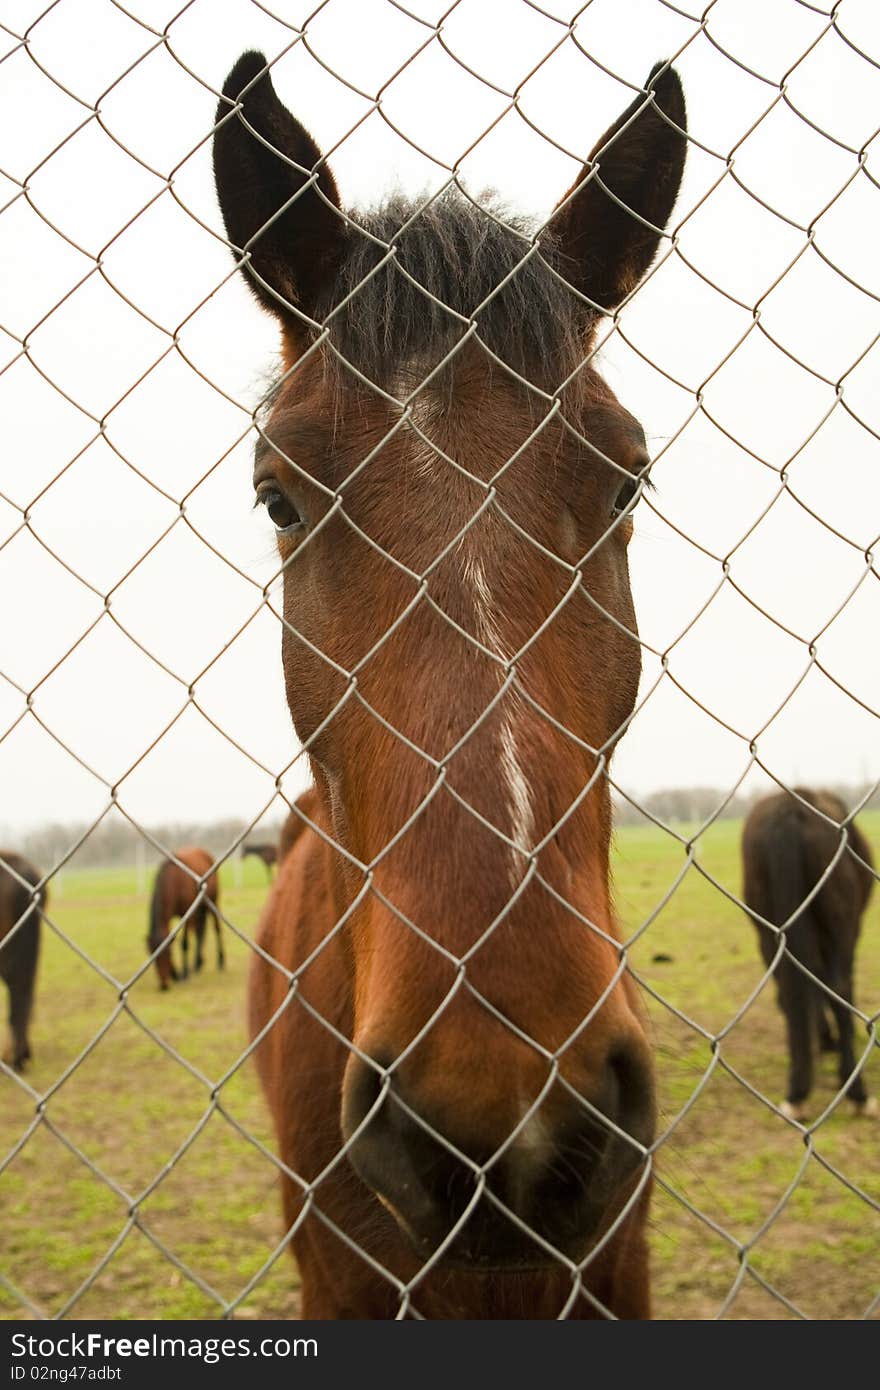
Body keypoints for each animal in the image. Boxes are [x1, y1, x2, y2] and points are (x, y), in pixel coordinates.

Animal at [147, 845, 222, 989]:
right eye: (153, 958)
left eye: (169, 953)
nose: (164, 986)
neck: (174, 880)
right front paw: (178, 973)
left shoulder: (186, 913)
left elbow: (184, 943)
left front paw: (184, 974)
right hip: (200, 909)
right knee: (200, 931)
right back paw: (198, 963)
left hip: (212, 902)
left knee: (216, 928)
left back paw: (221, 960)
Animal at [739, 789, 873, 1123]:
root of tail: (790, 808)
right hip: (840, 921)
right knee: (839, 987)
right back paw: (855, 1089)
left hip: (767, 925)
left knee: (792, 988)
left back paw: (798, 1089)